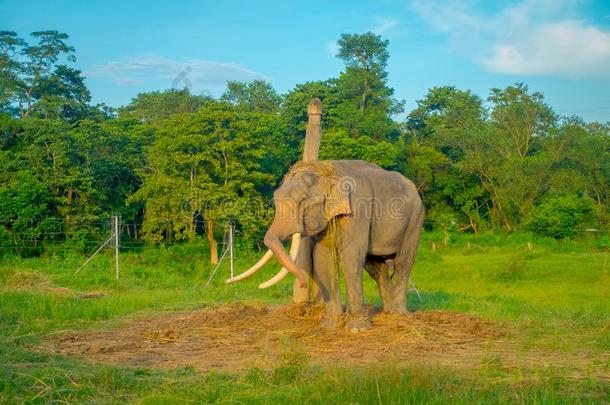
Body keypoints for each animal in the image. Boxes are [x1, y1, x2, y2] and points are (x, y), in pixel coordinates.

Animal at [224, 159, 422, 330]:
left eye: (303, 201)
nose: (303, 284)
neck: (329, 173)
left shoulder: (357, 211)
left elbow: (351, 258)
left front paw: (357, 329)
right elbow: (322, 259)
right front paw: (330, 325)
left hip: (415, 220)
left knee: (403, 262)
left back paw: (398, 314)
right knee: (375, 265)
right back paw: (388, 312)